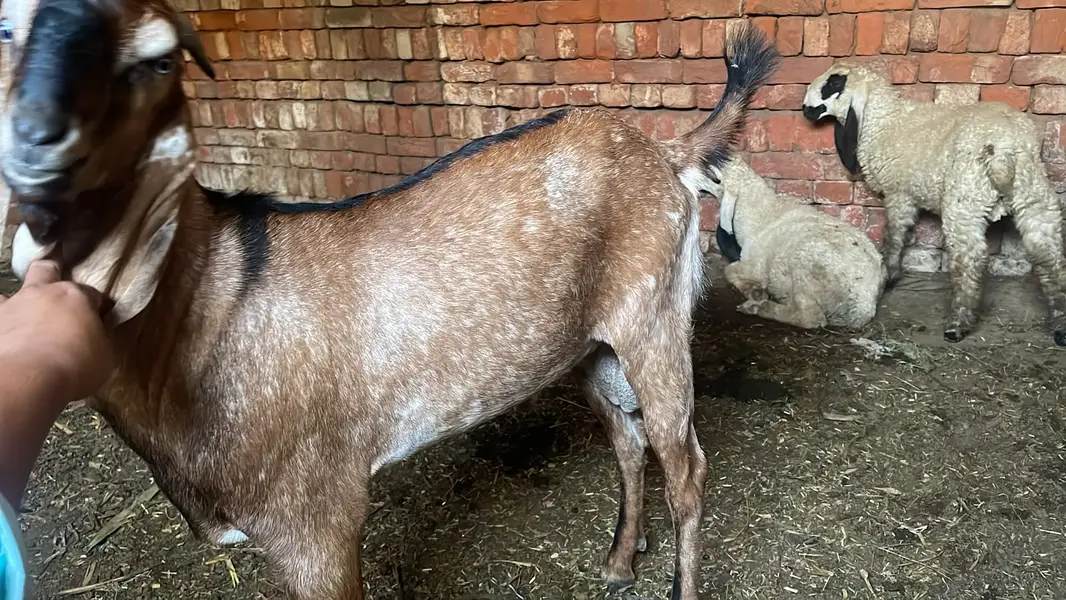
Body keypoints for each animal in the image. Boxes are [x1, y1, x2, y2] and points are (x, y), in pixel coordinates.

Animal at [0, 0, 781, 596]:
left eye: (158, 59)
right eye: (6, 28)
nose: (40, 143)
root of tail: (666, 151)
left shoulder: (317, 519)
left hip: (655, 316)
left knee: (687, 464)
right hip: (593, 341)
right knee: (627, 437)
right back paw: (619, 561)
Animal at [705, 155, 887, 329]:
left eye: (718, 178)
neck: (762, 212)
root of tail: (864, 306)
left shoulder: (756, 266)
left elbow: (729, 270)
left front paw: (756, 292)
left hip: (806, 266)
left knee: (811, 317)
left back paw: (759, 307)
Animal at [801, 59, 1066, 347]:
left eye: (834, 83)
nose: (805, 109)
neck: (884, 122)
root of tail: (1006, 148)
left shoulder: (899, 193)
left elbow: (894, 236)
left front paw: (890, 275)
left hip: (965, 200)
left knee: (970, 260)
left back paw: (957, 324)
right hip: (1035, 197)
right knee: (1050, 256)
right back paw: (1061, 326)